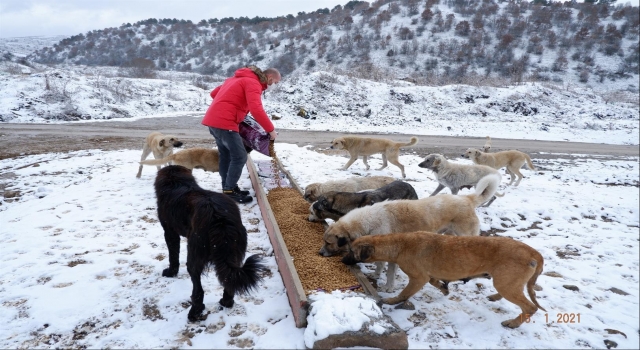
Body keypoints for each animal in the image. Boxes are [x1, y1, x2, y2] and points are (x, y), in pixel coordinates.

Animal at [155, 165, 268, 322]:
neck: (177, 183)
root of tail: (219, 218)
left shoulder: (170, 232)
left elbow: (173, 256)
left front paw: (171, 272)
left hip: (194, 255)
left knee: (198, 290)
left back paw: (195, 312)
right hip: (235, 254)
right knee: (229, 282)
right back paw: (226, 302)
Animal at [320, 174, 500, 292]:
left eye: (328, 243)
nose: (320, 253)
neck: (368, 221)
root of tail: (467, 199)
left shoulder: (391, 253)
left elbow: (389, 272)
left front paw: (388, 288)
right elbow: (379, 265)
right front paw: (376, 275)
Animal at [342, 232, 548, 328]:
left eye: (351, 251)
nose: (342, 260)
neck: (399, 244)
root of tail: (534, 253)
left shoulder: (417, 278)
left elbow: (404, 293)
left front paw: (392, 300)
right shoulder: (427, 275)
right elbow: (436, 282)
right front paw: (444, 288)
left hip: (505, 283)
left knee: (530, 307)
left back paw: (513, 323)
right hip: (506, 282)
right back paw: (496, 298)